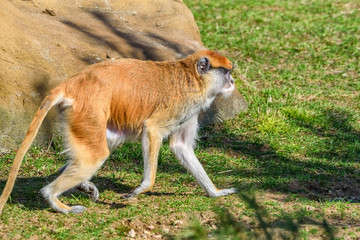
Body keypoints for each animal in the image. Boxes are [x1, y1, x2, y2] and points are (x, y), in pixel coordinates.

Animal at [0, 50, 238, 214]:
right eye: (226, 72)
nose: (232, 81)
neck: (192, 76)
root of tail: (73, 83)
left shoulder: (191, 110)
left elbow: (181, 147)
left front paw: (216, 192)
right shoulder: (183, 102)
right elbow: (152, 129)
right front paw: (141, 189)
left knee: (105, 144)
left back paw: (77, 181)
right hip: (88, 111)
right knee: (97, 155)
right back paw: (56, 200)